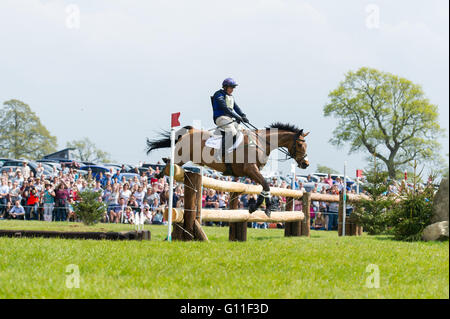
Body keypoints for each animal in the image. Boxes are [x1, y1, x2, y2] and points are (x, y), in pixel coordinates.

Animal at [148, 123, 310, 218]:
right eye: (300, 145)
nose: (306, 164)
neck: (261, 142)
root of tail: (190, 131)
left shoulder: (252, 172)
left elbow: (264, 186)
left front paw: (256, 207)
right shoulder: (250, 169)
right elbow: (266, 185)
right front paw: (267, 208)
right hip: (181, 156)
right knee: (170, 163)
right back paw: (160, 173)